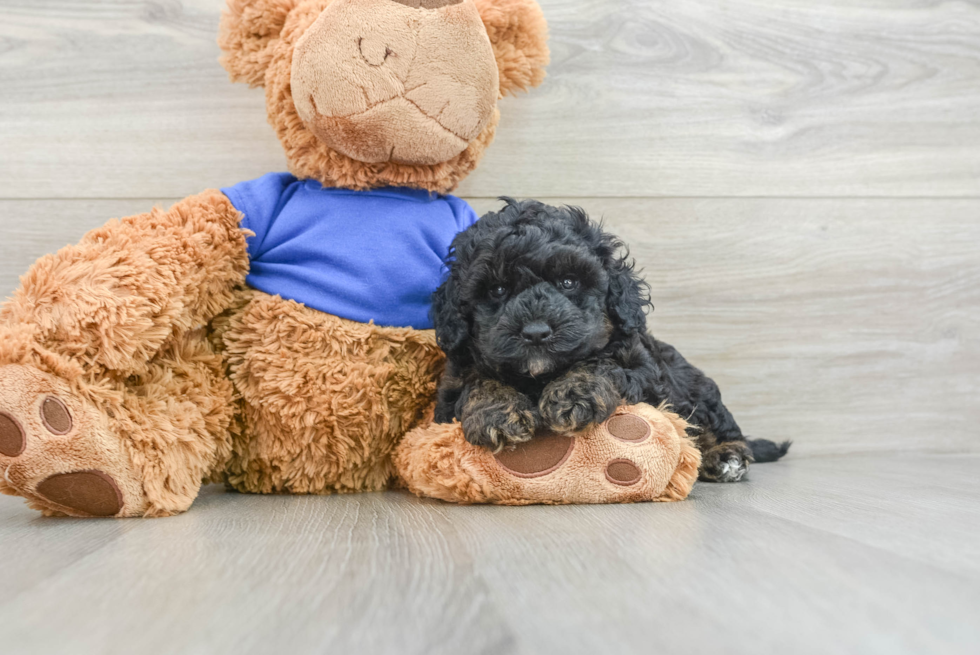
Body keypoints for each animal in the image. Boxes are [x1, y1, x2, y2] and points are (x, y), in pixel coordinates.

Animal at [432, 200, 792, 482]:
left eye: (568, 281)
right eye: (497, 290)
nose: (535, 332)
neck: (540, 376)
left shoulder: (642, 368)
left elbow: (603, 363)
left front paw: (572, 395)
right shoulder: (452, 383)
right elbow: (477, 379)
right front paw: (496, 413)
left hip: (697, 391)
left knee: (718, 427)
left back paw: (727, 456)